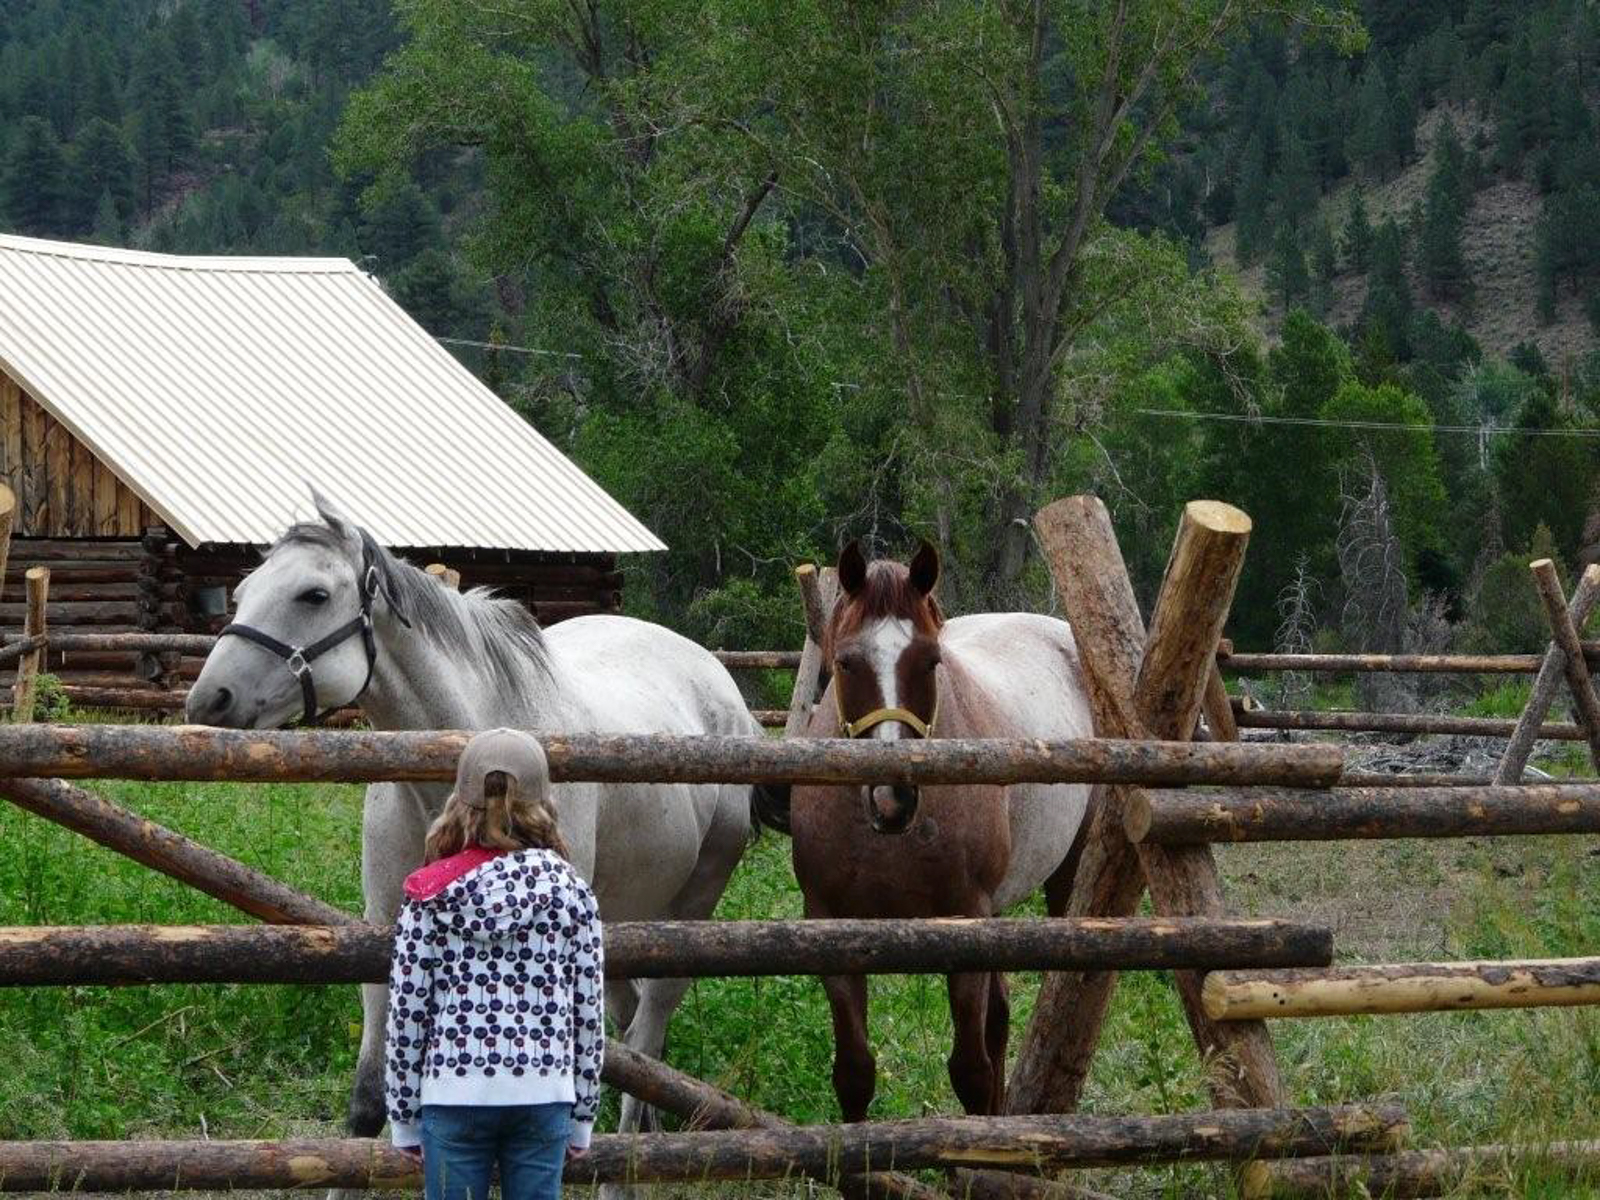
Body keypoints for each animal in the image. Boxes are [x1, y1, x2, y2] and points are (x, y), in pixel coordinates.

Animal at [185, 496, 768, 1178]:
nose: (208, 700)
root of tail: (719, 682)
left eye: (313, 594)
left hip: (693, 905)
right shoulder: (385, 932)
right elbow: (369, 1104)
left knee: (647, 1034)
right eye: (241, 592)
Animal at [787, 540, 1093, 1120]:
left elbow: (971, 1072)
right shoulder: (831, 928)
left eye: (931, 661)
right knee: (1000, 1018)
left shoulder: (966, 923)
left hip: (1065, 875)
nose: (893, 797)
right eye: (846, 662)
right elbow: (854, 1073)